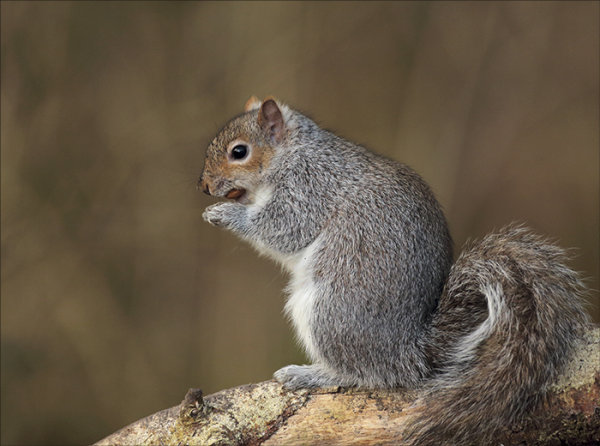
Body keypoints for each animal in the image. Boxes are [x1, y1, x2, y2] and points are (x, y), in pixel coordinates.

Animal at [199, 96, 588, 444]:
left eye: (239, 152)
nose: (203, 186)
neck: (294, 153)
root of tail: (409, 350)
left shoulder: (309, 189)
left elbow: (283, 229)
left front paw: (226, 215)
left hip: (328, 313)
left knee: (367, 374)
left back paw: (313, 374)